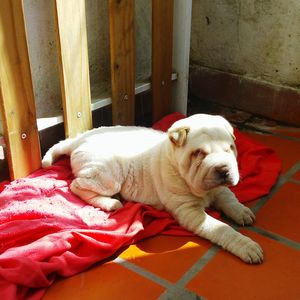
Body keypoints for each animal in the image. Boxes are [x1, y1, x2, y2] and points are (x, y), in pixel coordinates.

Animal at [41, 113, 262, 264]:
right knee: (76, 185)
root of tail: (78, 139)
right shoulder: (189, 211)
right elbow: (222, 229)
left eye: (229, 148)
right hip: (108, 174)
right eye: (199, 153)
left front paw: (242, 212)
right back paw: (111, 203)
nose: (224, 170)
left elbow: (230, 198)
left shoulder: (219, 190)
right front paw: (247, 246)